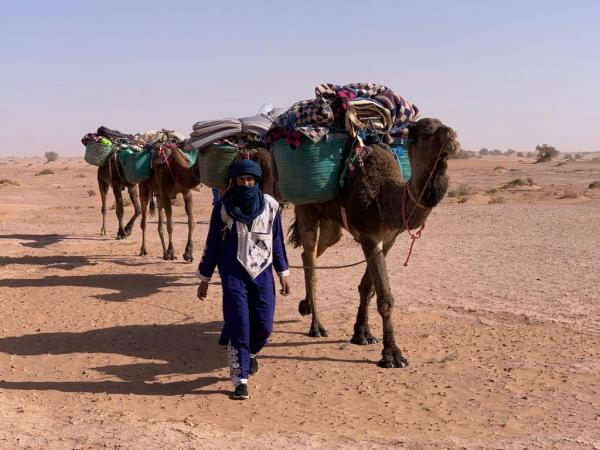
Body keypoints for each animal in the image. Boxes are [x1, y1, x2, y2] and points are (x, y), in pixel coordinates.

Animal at [139, 146, 276, 262]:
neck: (176, 169)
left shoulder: (186, 192)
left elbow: (191, 221)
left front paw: (188, 254)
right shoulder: (166, 193)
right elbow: (171, 225)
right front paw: (172, 252)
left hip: (158, 194)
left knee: (159, 221)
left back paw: (164, 253)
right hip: (144, 187)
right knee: (144, 219)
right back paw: (144, 250)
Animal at [288, 118, 458, 368]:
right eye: (427, 129)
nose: (453, 138)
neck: (387, 199)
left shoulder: (388, 240)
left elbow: (367, 288)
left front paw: (362, 334)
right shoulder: (369, 237)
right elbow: (385, 297)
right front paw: (392, 354)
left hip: (332, 224)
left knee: (313, 252)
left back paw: (306, 306)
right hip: (305, 206)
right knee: (310, 260)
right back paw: (316, 327)